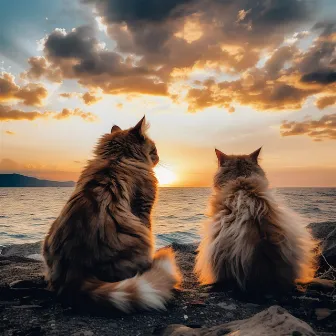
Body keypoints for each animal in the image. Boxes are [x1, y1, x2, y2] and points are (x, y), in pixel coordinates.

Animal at [44, 117, 182, 312]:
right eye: (154, 149)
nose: (158, 157)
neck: (117, 157)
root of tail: (74, 270)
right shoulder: (144, 207)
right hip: (142, 238)